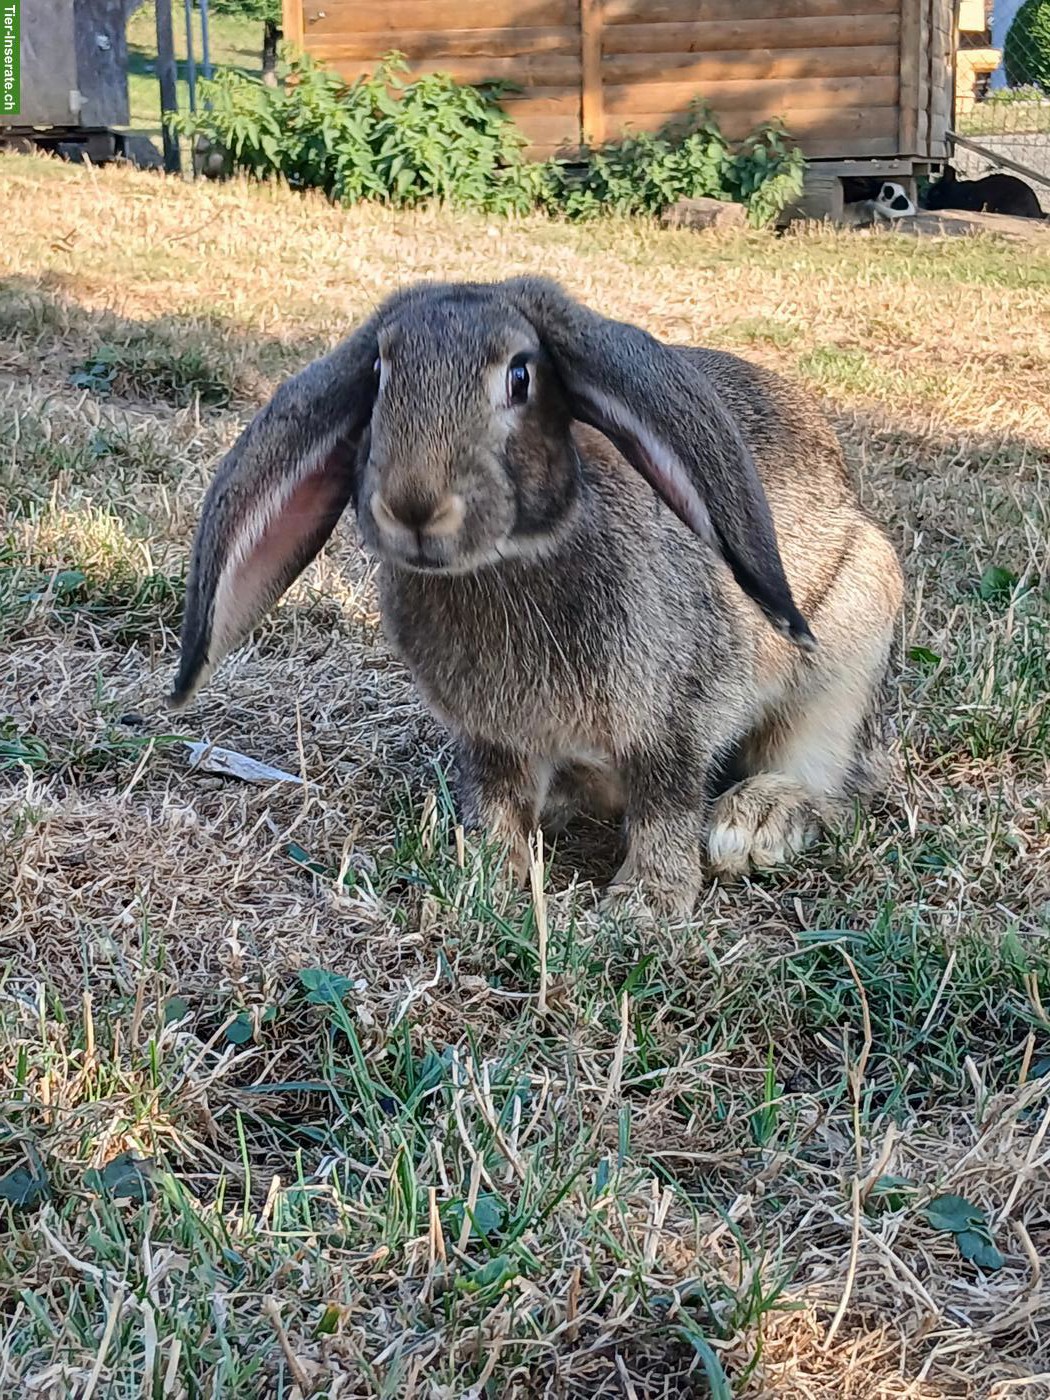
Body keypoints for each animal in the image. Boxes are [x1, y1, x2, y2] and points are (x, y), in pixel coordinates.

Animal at [169, 278, 903, 917]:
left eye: (520, 377)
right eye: (377, 377)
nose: (414, 504)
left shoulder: (678, 715)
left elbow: (666, 806)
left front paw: (643, 906)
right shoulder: (492, 739)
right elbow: (500, 800)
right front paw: (488, 877)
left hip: (852, 638)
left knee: (826, 772)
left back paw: (755, 822)